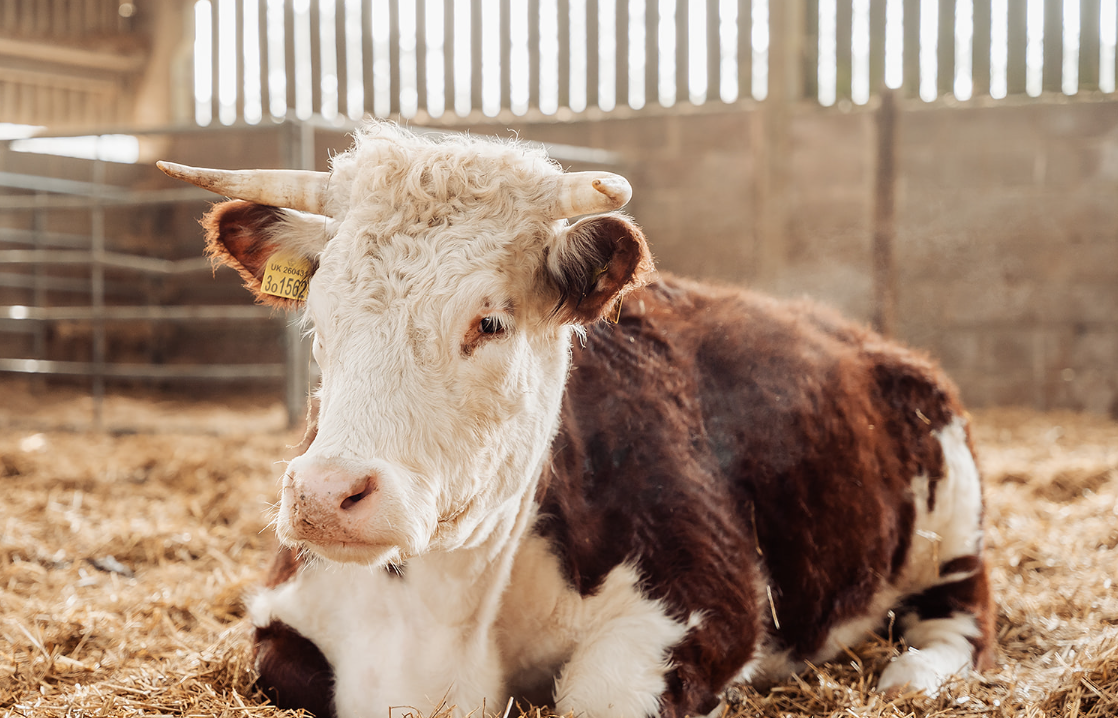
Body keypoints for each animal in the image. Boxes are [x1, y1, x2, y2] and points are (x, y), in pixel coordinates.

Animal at [158, 122, 992, 718]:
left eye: (489, 322)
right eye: (320, 317)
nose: (326, 495)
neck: (435, 627)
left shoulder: (704, 603)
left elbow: (598, 695)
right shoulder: (286, 618)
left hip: (954, 529)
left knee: (960, 619)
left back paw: (912, 675)